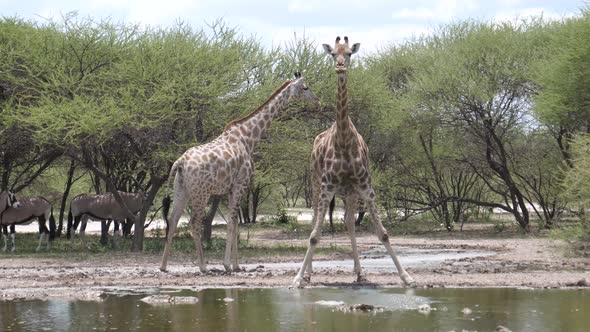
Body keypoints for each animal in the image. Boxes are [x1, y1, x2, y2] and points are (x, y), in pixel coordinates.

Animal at [160, 72, 320, 272]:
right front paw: (228, 265)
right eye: (305, 87)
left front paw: (236, 265)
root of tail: (180, 162)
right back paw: (203, 266)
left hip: (181, 190)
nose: (317, 100)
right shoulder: (240, 184)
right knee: (194, 223)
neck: (248, 138)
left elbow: (235, 224)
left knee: (173, 220)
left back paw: (163, 266)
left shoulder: (231, 188)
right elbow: (231, 223)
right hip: (201, 193)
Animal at [292, 35, 416, 286]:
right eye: (333, 54)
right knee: (315, 219)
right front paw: (298, 278)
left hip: (349, 192)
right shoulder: (327, 186)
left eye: (349, 53)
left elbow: (383, 233)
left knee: (349, 221)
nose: (340, 67)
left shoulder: (365, 186)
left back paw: (359, 273)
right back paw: (309, 274)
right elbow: (314, 236)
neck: (344, 139)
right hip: (316, 183)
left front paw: (406, 276)